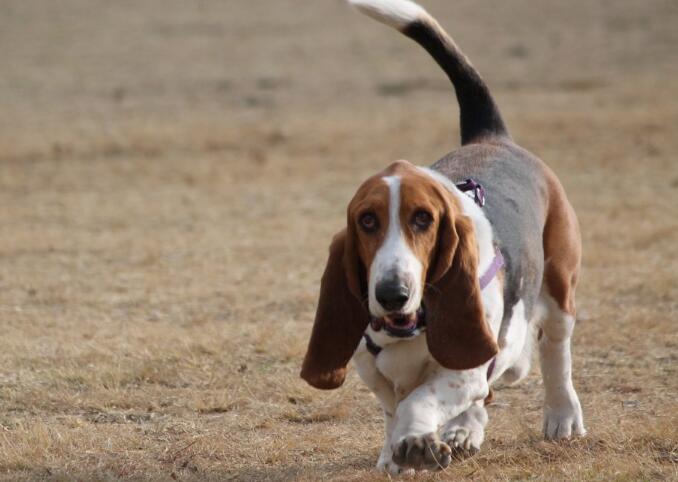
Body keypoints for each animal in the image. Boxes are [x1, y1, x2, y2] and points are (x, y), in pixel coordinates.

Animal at [300, 0, 588, 474]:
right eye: (366, 220)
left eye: (423, 219)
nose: (391, 293)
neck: (408, 327)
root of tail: (491, 136)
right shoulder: (373, 370)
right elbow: (394, 405)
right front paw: (396, 453)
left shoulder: (463, 368)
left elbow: (421, 399)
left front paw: (415, 441)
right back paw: (465, 430)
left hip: (560, 283)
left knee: (554, 351)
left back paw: (561, 416)